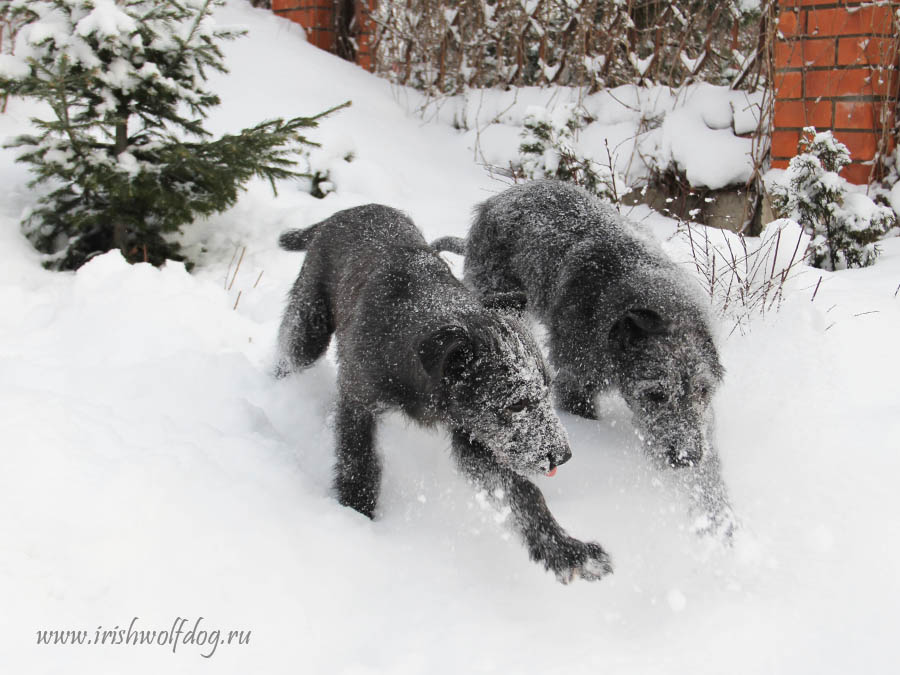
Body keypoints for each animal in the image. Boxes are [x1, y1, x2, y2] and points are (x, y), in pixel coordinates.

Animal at [274, 205, 612, 580]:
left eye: (547, 390)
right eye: (516, 404)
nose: (562, 456)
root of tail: (345, 212)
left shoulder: (473, 435)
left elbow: (523, 491)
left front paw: (567, 551)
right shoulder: (358, 402)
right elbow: (359, 461)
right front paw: (356, 515)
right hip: (309, 325)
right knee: (289, 355)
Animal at [436, 181, 740, 540]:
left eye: (703, 392)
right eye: (655, 394)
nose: (686, 458)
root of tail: (498, 199)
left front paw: (719, 519)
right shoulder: (576, 379)